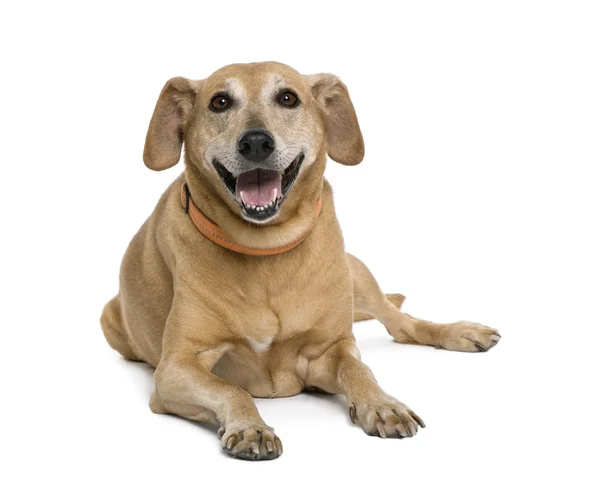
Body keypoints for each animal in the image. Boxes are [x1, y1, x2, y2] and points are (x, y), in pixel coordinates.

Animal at [101, 62, 500, 462]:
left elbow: (359, 368)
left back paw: (459, 332)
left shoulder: (331, 348)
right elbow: (231, 389)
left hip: (358, 276)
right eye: (220, 102)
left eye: (288, 98)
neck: (265, 250)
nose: (256, 142)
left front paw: (382, 404)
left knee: (402, 324)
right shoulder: (175, 368)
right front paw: (251, 426)